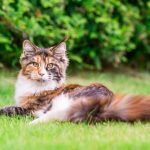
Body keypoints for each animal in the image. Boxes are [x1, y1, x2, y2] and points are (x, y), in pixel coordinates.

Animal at [0, 39, 150, 124]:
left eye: (50, 66)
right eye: (35, 64)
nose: (41, 73)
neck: (37, 86)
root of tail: (103, 105)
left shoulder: (31, 109)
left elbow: (9, 108)